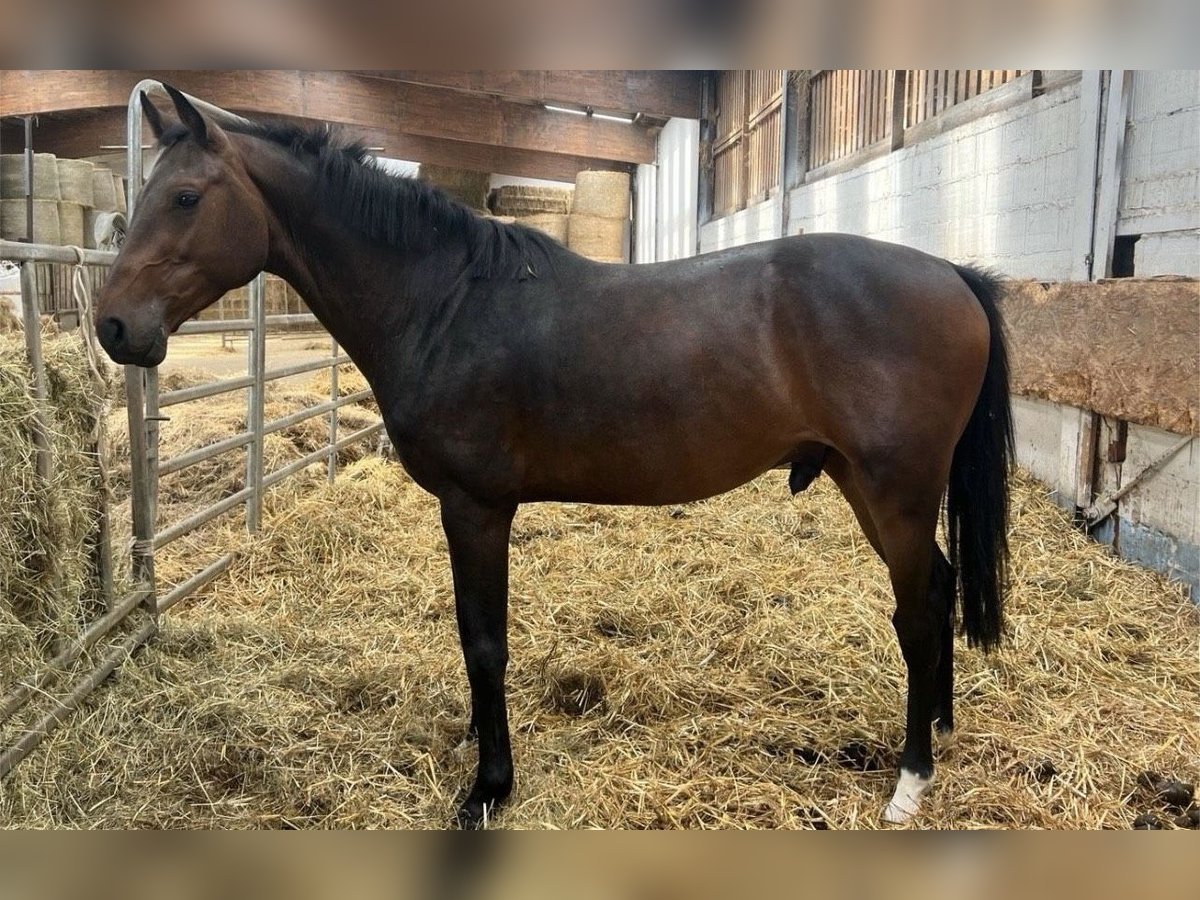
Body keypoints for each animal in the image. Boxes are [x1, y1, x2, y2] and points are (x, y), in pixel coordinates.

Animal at [96, 88, 1012, 830]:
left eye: (185, 197)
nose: (113, 327)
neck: (444, 302)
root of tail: (953, 276)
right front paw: (476, 739)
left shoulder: (474, 507)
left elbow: (484, 641)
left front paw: (488, 786)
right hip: (868, 485)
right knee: (936, 589)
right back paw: (937, 728)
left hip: (894, 490)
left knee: (918, 611)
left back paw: (910, 781)